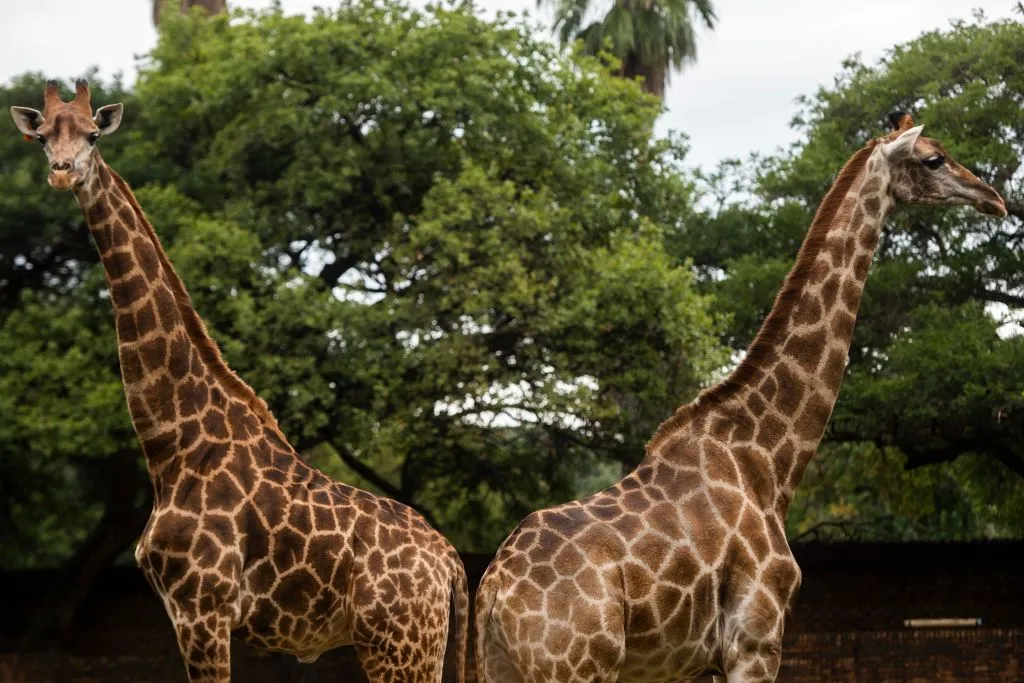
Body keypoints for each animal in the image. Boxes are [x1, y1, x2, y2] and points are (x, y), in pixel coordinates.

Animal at [10, 80, 468, 683]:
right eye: (42, 137)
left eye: (92, 134)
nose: (63, 173)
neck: (172, 443)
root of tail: (451, 562)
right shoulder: (187, 612)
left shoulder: (202, 609)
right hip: (417, 646)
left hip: (400, 645)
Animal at [474, 111, 1007, 683]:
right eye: (934, 158)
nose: (994, 198)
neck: (767, 459)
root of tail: (493, 589)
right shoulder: (756, 640)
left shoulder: (705, 660)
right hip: (580, 666)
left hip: (502, 667)